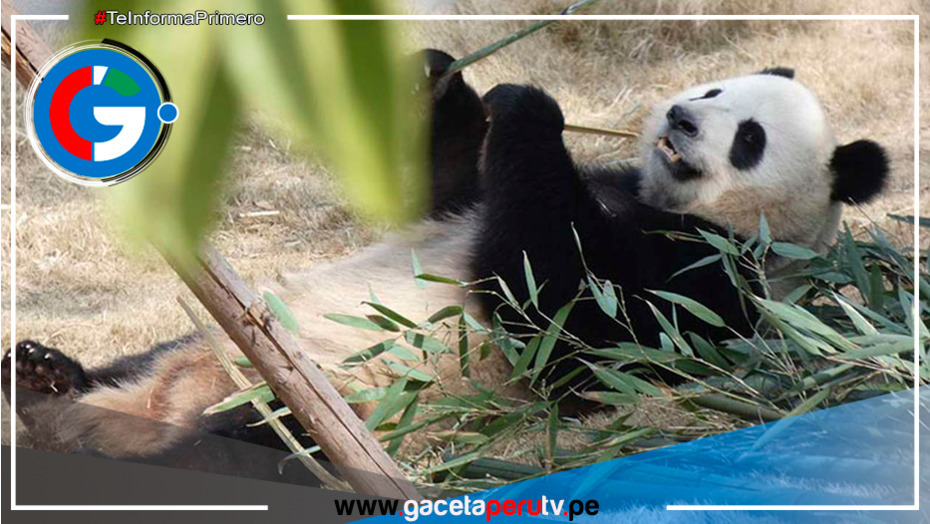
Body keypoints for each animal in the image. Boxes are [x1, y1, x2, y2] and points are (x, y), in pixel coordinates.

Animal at [2, 51, 888, 480]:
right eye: (711, 89)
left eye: (750, 139)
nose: (679, 118)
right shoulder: (500, 199)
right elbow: (442, 195)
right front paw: (445, 81)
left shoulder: (705, 285)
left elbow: (560, 319)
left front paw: (532, 106)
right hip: (201, 346)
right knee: (134, 363)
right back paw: (43, 381)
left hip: (327, 409)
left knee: (246, 448)